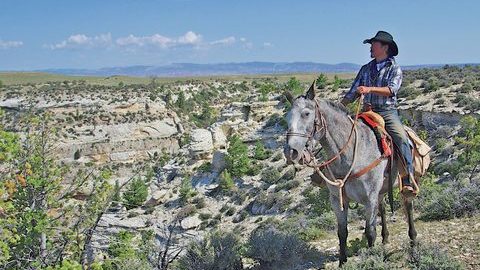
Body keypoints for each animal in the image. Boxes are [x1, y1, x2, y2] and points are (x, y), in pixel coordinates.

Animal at [284, 81, 416, 266]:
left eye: (306, 114)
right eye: (287, 117)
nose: (291, 152)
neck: (351, 153)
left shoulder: (369, 199)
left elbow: (370, 232)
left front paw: (371, 259)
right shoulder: (338, 200)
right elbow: (342, 232)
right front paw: (342, 262)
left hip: (406, 182)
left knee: (408, 206)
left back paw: (413, 242)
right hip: (382, 190)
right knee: (383, 208)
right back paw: (385, 240)